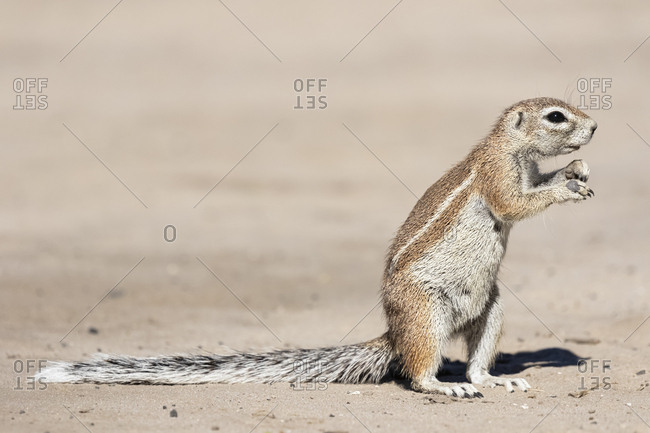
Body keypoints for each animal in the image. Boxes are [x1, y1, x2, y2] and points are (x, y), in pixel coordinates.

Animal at [39, 97, 597, 398]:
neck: (509, 146)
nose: (594, 127)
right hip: (426, 313)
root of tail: (394, 333)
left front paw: (575, 172)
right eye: (556, 116)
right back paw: (446, 385)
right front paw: (566, 187)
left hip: (491, 308)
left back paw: (492, 378)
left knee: (477, 357)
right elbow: (514, 204)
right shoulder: (497, 177)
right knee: (417, 374)